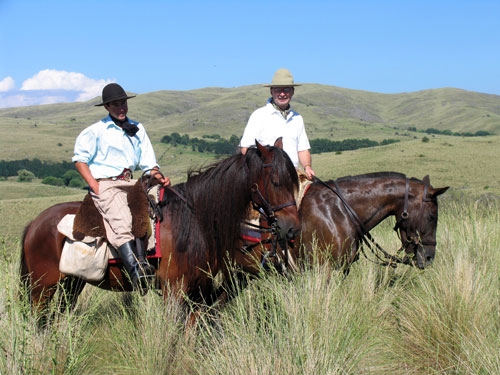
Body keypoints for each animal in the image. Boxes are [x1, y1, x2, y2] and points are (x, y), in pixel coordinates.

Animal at [20, 140, 300, 322]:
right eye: (276, 182)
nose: (292, 229)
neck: (196, 221)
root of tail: (35, 222)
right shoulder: (174, 293)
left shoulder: (198, 293)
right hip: (41, 288)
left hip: (71, 283)